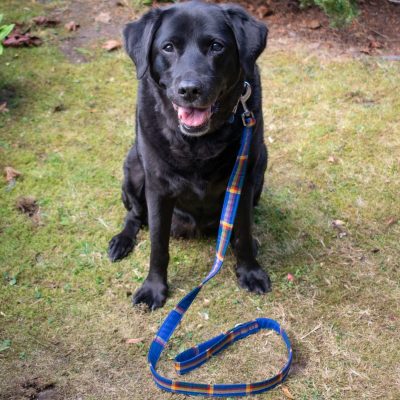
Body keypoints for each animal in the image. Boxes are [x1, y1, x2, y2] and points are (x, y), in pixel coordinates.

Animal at [109, 0, 270, 310]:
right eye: (168, 47)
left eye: (217, 46)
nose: (190, 89)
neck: (198, 142)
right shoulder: (157, 188)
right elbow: (158, 245)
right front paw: (153, 288)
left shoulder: (243, 182)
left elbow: (243, 232)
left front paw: (250, 271)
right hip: (133, 167)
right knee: (134, 215)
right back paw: (122, 241)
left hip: (262, 164)